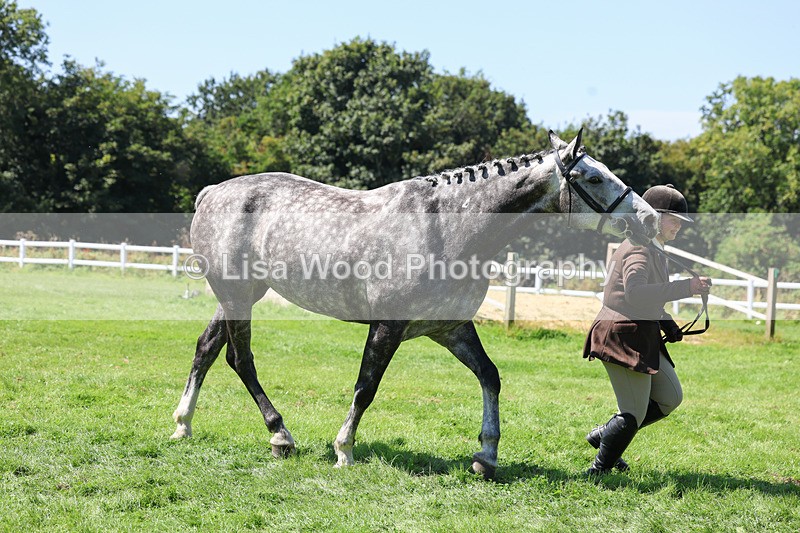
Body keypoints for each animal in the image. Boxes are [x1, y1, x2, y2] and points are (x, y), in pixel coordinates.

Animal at [171, 129, 659, 478]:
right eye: (594, 178)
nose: (650, 218)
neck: (447, 227)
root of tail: (211, 192)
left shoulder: (450, 328)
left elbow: (491, 377)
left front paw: (487, 455)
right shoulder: (388, 326)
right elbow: (365, 387)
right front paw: (344, 450)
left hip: (238, 295)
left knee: (205, 349)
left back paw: (183, 425)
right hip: (237, 294)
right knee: (240, 359)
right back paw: (280, 436)